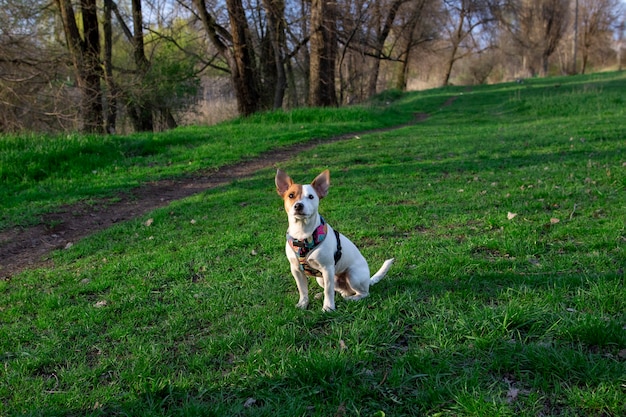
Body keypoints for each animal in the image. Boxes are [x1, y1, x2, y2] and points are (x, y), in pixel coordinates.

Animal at [272, 168, 390, 308]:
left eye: (311, 196)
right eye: (291, 195)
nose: (298, 205)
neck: (303, 234)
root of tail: (368, 281)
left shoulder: (327, 268)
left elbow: (328, 291)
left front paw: (328, 307)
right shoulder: (296, 269)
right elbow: (302, 289)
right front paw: (303, 303)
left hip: (353, 275)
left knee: (363, 293)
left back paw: (352, 298)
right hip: (321, 279)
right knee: (340, 290)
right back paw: (327, 295)